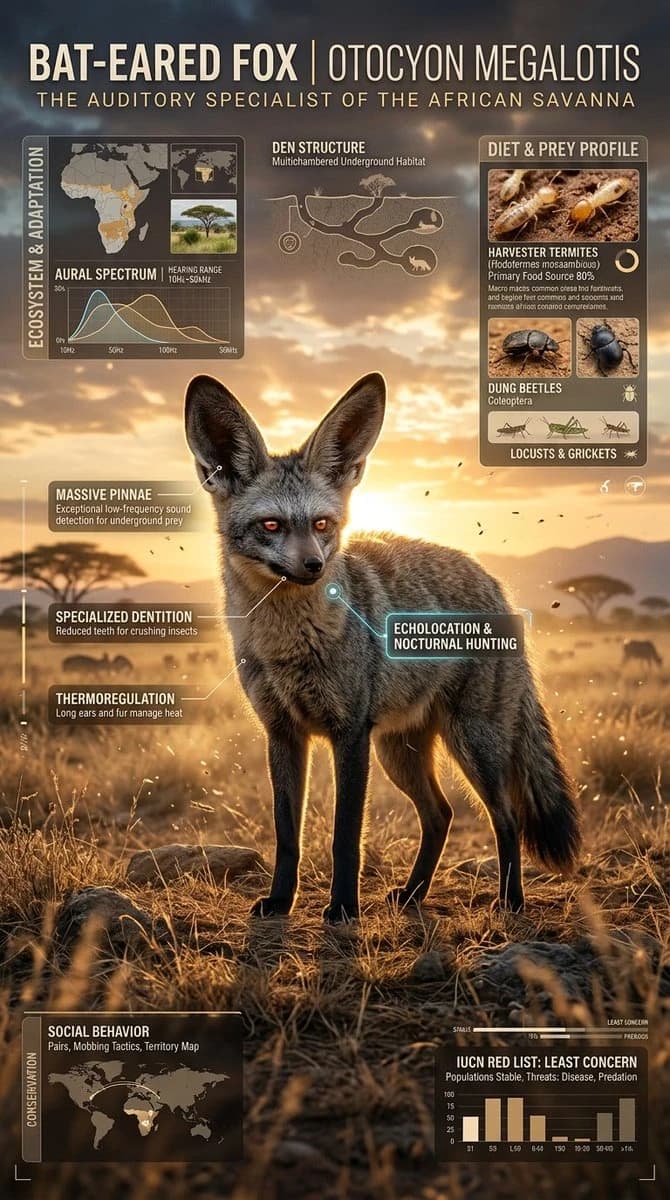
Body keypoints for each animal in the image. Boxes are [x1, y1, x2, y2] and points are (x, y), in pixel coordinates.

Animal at [185, 371, 580, 923]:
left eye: (323, 524)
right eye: (271, 525)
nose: (315, 567)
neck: (289, 648)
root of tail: (493, 581)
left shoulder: (349, 732)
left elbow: (345, 837)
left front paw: (343, 909)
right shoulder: (282, 732)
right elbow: (288, 837)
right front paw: (282, 901)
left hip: (471, 743)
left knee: (507, 817)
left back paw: (510, 900)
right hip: (400, 752)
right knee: (441, 815)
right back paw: (414, 895)